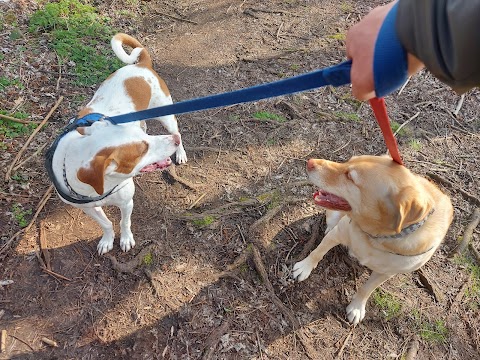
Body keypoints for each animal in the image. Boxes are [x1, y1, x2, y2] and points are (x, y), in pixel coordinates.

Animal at [47, 33, 185, 253]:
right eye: (143, 149)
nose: (174, 142)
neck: (99, 188)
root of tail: (141, 65)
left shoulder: (127, 202)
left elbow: (124, 222)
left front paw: (126, 239)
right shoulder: (89, 209)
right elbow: (106, 223)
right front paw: (107, 239)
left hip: (166, 116)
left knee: (176, 129)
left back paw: (180, 152)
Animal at [292, 156, 454, 324]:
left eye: (350, 176)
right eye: (348, 161)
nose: (310, 162)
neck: (374, 237)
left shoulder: (387, 273)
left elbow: (367, 289)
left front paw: (357, 307)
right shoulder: (338, 233)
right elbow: (317, 252)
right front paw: (304, 267)